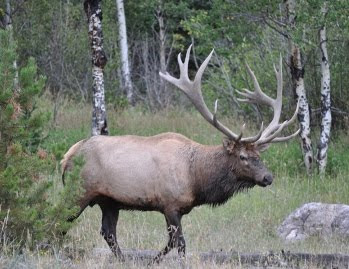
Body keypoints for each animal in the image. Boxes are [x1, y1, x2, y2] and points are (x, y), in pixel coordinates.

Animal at [61, 45, 298, 262]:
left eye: (259, 156)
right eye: (243, 157)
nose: (267, 177)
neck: (197, 178)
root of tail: (66, 157)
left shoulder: (178, 209)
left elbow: (170, 243)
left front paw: (153, 261)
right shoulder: (170, 204)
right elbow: (180, 243)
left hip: (108, 201)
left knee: (108, 232)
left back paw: (123, 260)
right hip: (79, 192)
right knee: (63, 222)